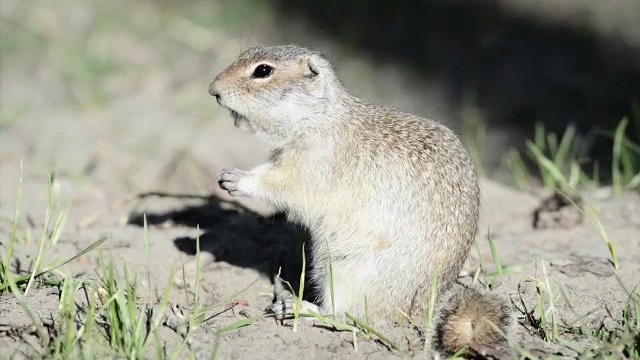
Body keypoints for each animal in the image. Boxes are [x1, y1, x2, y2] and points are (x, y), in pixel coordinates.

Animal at [210, 45, 516, 358]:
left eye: (263, 71)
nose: (213, 89)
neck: (319, 117)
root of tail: (422, 308)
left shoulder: (310, 166)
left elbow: (279, 183)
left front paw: (238, 179)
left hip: (345, 272)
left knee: (340, 315)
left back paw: (296, 308)